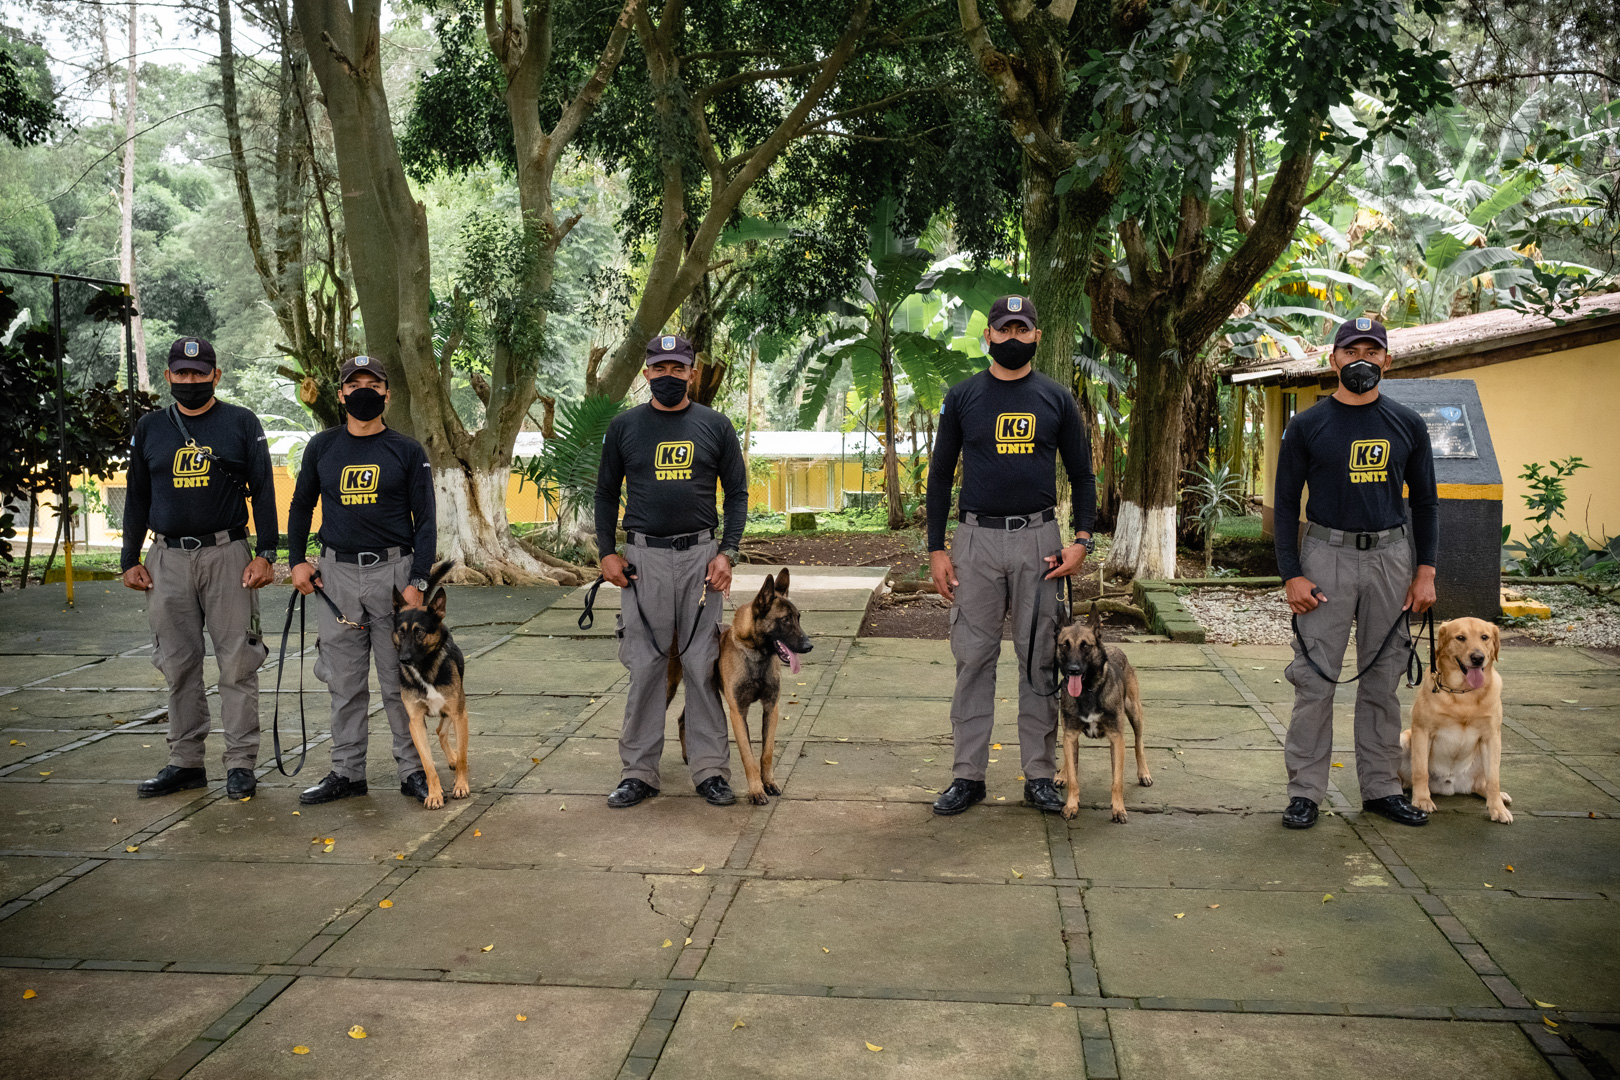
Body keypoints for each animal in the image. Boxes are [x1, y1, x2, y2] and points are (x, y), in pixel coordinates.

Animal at [392, 566, 469, 809]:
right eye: (400, 631)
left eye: (419, 632)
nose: (404, 659)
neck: (424, 669)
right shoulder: (415, 722)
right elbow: (427, 764)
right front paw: (433, 794)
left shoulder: (459, 714)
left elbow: (463, 756)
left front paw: (461, 786)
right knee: (440, 732)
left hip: (455, 709)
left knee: (445, 733)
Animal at [664, 569, 810, 806]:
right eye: (785, 620)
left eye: (798, 618)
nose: (808, 646)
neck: (756, 655)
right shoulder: (737, 712)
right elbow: (748, 756)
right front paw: (756, 791)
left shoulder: (771, 708)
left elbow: (767, 753)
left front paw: (769, 783)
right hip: (668, 688)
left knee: (683, 718)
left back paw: (690, 757)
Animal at [1056, 605, 1146, 822]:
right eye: (1064, 645)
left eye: (1085, 646)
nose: (1073, 670)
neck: (1088, 689)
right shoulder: (1070, 735)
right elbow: (1074, 777)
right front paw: (1071, 805)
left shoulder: (1117, 738)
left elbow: (1117, 781)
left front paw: (1118, 809)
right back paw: (1062, 774)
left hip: (1135, 712)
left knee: (1139, 743)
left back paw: (1144, 773)